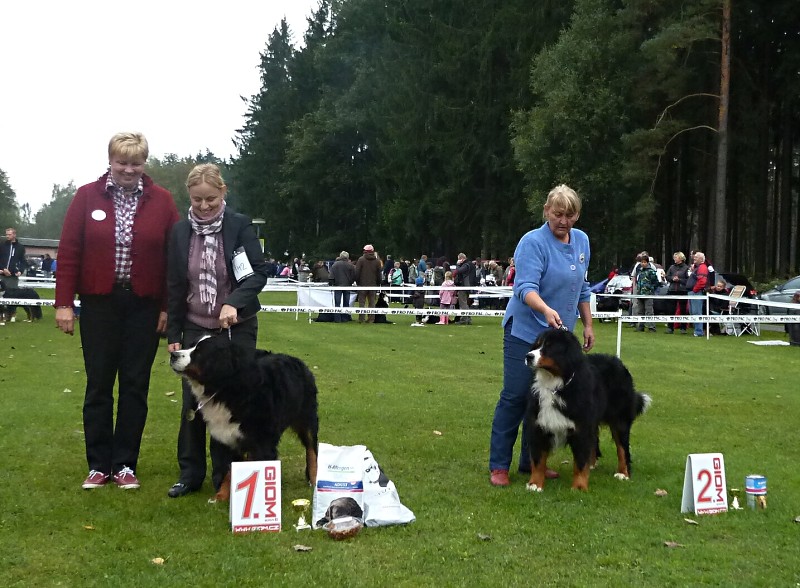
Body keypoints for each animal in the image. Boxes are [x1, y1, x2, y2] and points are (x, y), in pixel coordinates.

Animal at [170, 334, 320, 494]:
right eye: (190, 345)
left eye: (199, 352)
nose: (173, 354)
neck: (225, 389)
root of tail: (299, 361)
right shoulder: (227, 437)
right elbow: (228, 472)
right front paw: (221, 496)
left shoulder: (263, 442)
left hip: (307, 419)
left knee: (312, 450)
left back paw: (314, 480)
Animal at [524, 330, 648, 492]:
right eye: (537, 345)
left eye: (550, 347)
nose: (528, 356)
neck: (556, 384)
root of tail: (618, 363)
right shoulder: (539, 425)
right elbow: (538, 460)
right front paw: (535, 484)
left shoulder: (581, 428)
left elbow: (580, 462)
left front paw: (579, 487)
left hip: (619, 420)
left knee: (623, 448)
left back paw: (623, 473)